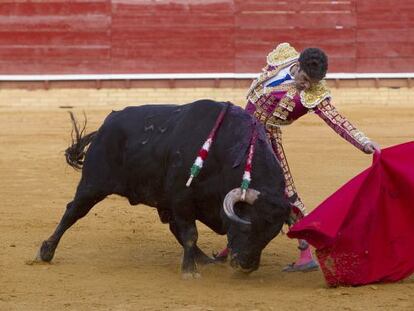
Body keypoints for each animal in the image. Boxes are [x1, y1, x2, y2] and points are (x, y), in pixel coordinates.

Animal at [35, 100, 290, 278]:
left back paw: (204, 259)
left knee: (173, 228)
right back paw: (45, 252)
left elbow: (185, 233)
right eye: (247, 227)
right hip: (92, 184)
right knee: (72, 212)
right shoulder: (181, 198)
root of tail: (104, 128)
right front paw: (189, 271)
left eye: (270, 235)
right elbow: (190, 233)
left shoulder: (179, 202)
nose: (246, 266)